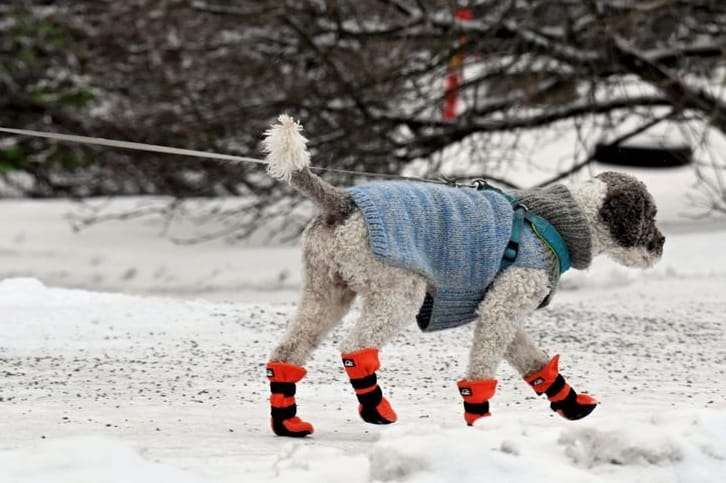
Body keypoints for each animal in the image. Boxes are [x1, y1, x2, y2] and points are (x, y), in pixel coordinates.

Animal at [262, 114, 664, 438]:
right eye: (650, 214)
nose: (661, 244)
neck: (558, 223)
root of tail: (343, 203)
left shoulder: (501, 310)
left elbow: (534, 362)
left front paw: (571, 403)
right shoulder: (502, 308)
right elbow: (482, 369)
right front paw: (481, 420)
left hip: (326, 293)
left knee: (287, 352)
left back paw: (288, 422)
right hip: (398, 293)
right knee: (355, 348)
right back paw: (376, 409)